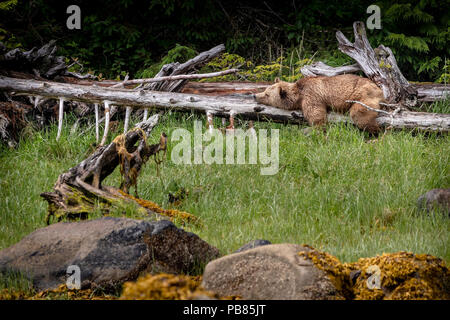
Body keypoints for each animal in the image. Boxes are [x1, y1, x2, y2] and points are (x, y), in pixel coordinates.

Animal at [255, 74, 384, 134]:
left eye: (267, 94)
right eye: (265, 90)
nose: (255, 96)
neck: (299, 94)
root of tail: (379, 89)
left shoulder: (311, 96)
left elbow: (317, 118)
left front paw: (306, 130)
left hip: (363, 94)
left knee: (359, 114)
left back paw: (376, 131)